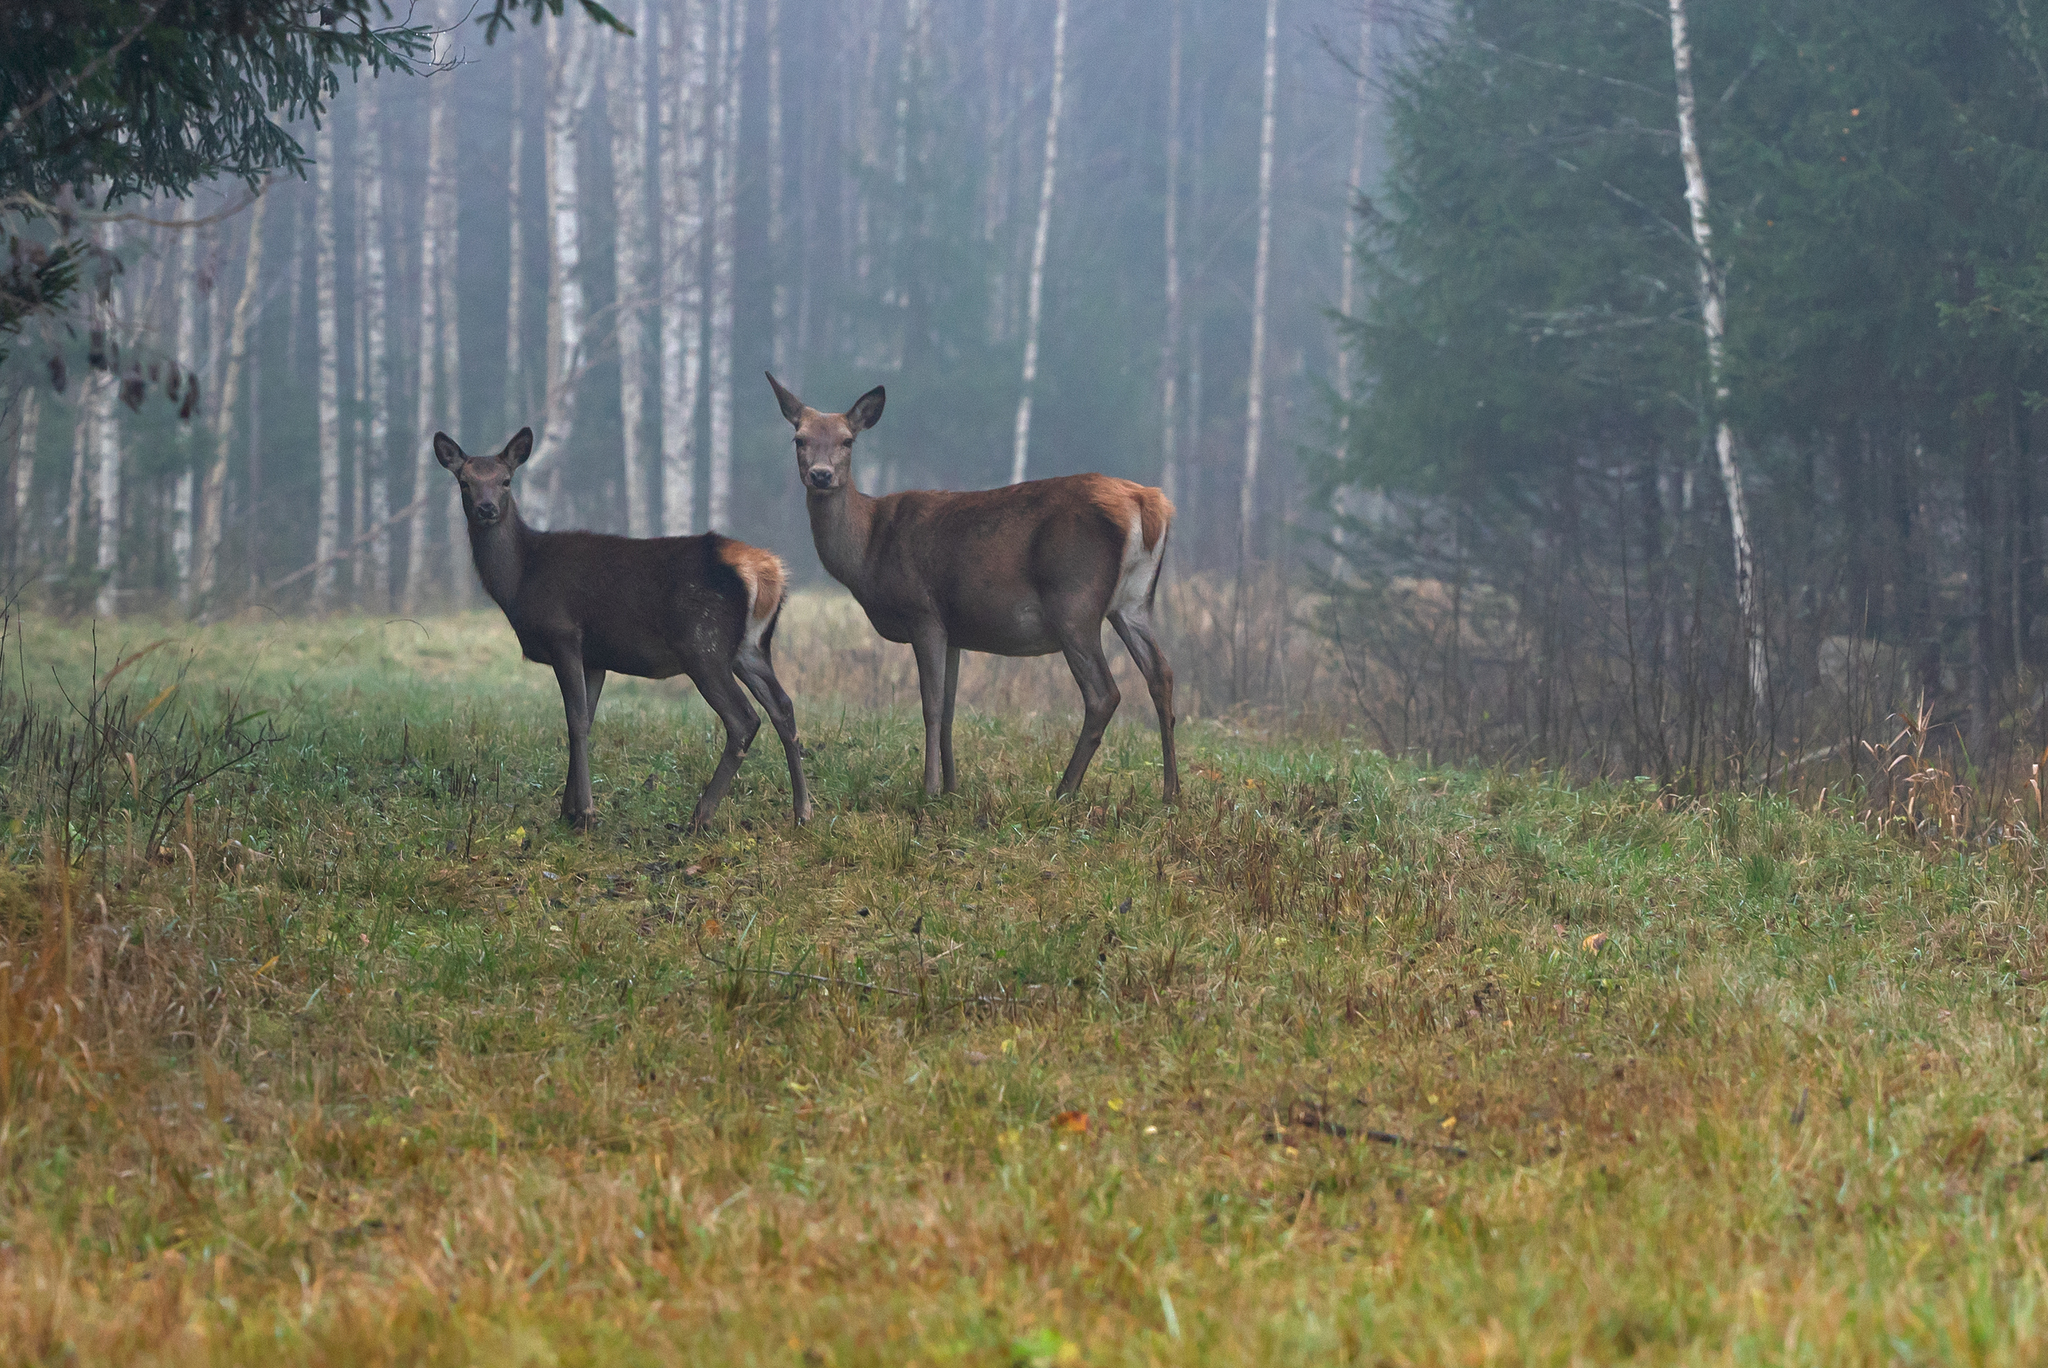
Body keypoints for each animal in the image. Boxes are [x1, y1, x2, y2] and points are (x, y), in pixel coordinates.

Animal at [436, 428, 811, 835]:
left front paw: (585, 813)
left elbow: (575, 720)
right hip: (751, 648)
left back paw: (700, 816)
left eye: (505, 480)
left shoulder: (563, 634)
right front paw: (568, 811)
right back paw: (802, 811)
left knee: (744, 719)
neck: (520, 580)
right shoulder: (596, 657)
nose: (486, 509)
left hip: (703, 643)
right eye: (465, 482)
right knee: (783, 707)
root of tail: (767, 571)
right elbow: (587, 717)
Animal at [765, 374, 1187, 802]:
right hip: (1133, 602)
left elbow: (932, 706)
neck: (868, 551)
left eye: (848, 440)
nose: (820, 475)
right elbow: (951, 710)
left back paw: (1064, 790)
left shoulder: (923, 612)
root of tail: (1148, 503)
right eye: (799, 439)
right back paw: (1170, 792)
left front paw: (930, 789)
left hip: (1074, 600)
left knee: (1104, 694)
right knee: (1161, 674)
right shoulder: (955, 630)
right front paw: (952, 788)